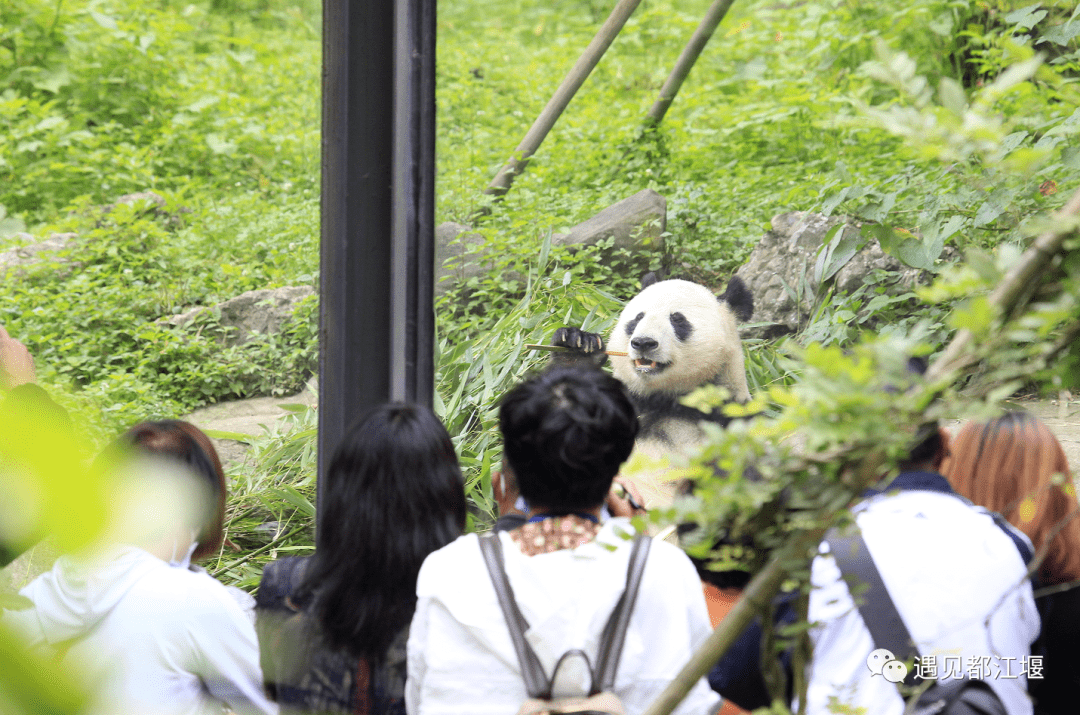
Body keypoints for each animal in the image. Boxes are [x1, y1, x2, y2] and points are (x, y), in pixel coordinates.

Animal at [552, 273, 756, 503]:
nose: (643, 342)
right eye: (637, 318)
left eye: (677, 319)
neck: (661, 398)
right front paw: (576, 347)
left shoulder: (729, 420)